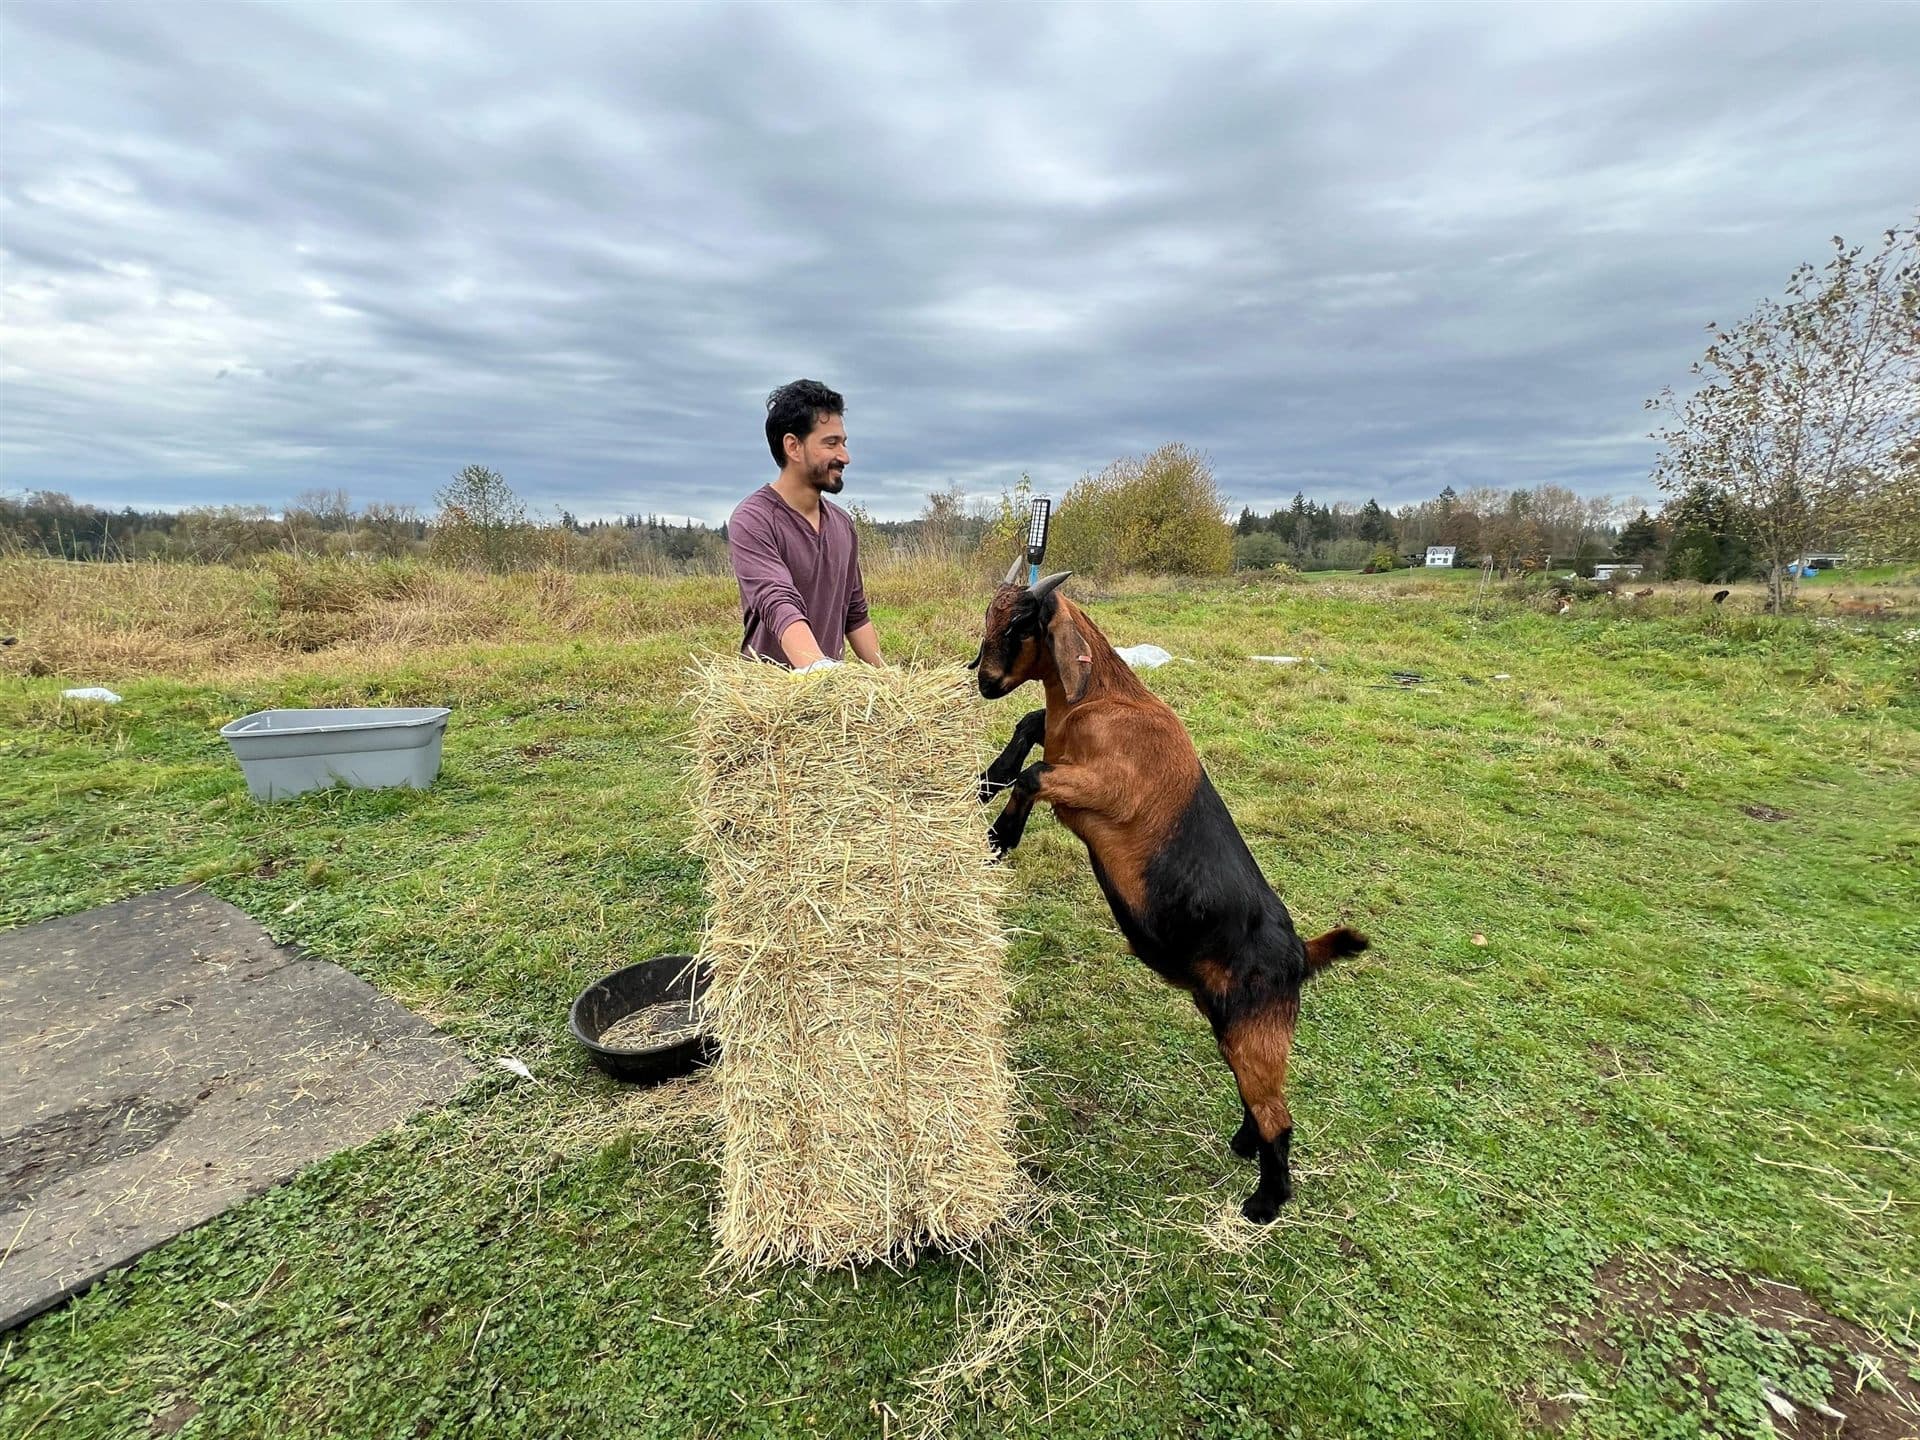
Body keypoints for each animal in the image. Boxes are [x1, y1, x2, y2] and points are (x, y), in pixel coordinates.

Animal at [969, 564, 1368, 1221]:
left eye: (1020, 625)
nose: (983, 681)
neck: (1104, 703)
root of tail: (1299, 954)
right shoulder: (1062, 743)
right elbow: (1030, 729)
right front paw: (988, 778)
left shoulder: (1105, 791)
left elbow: (1035, 775)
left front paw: (1001, 836)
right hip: (1232, 1022)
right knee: (1260, 1102)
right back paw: (1243, 1147)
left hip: (1255, 1029)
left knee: (1278, 1115)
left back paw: (1265, 1203)